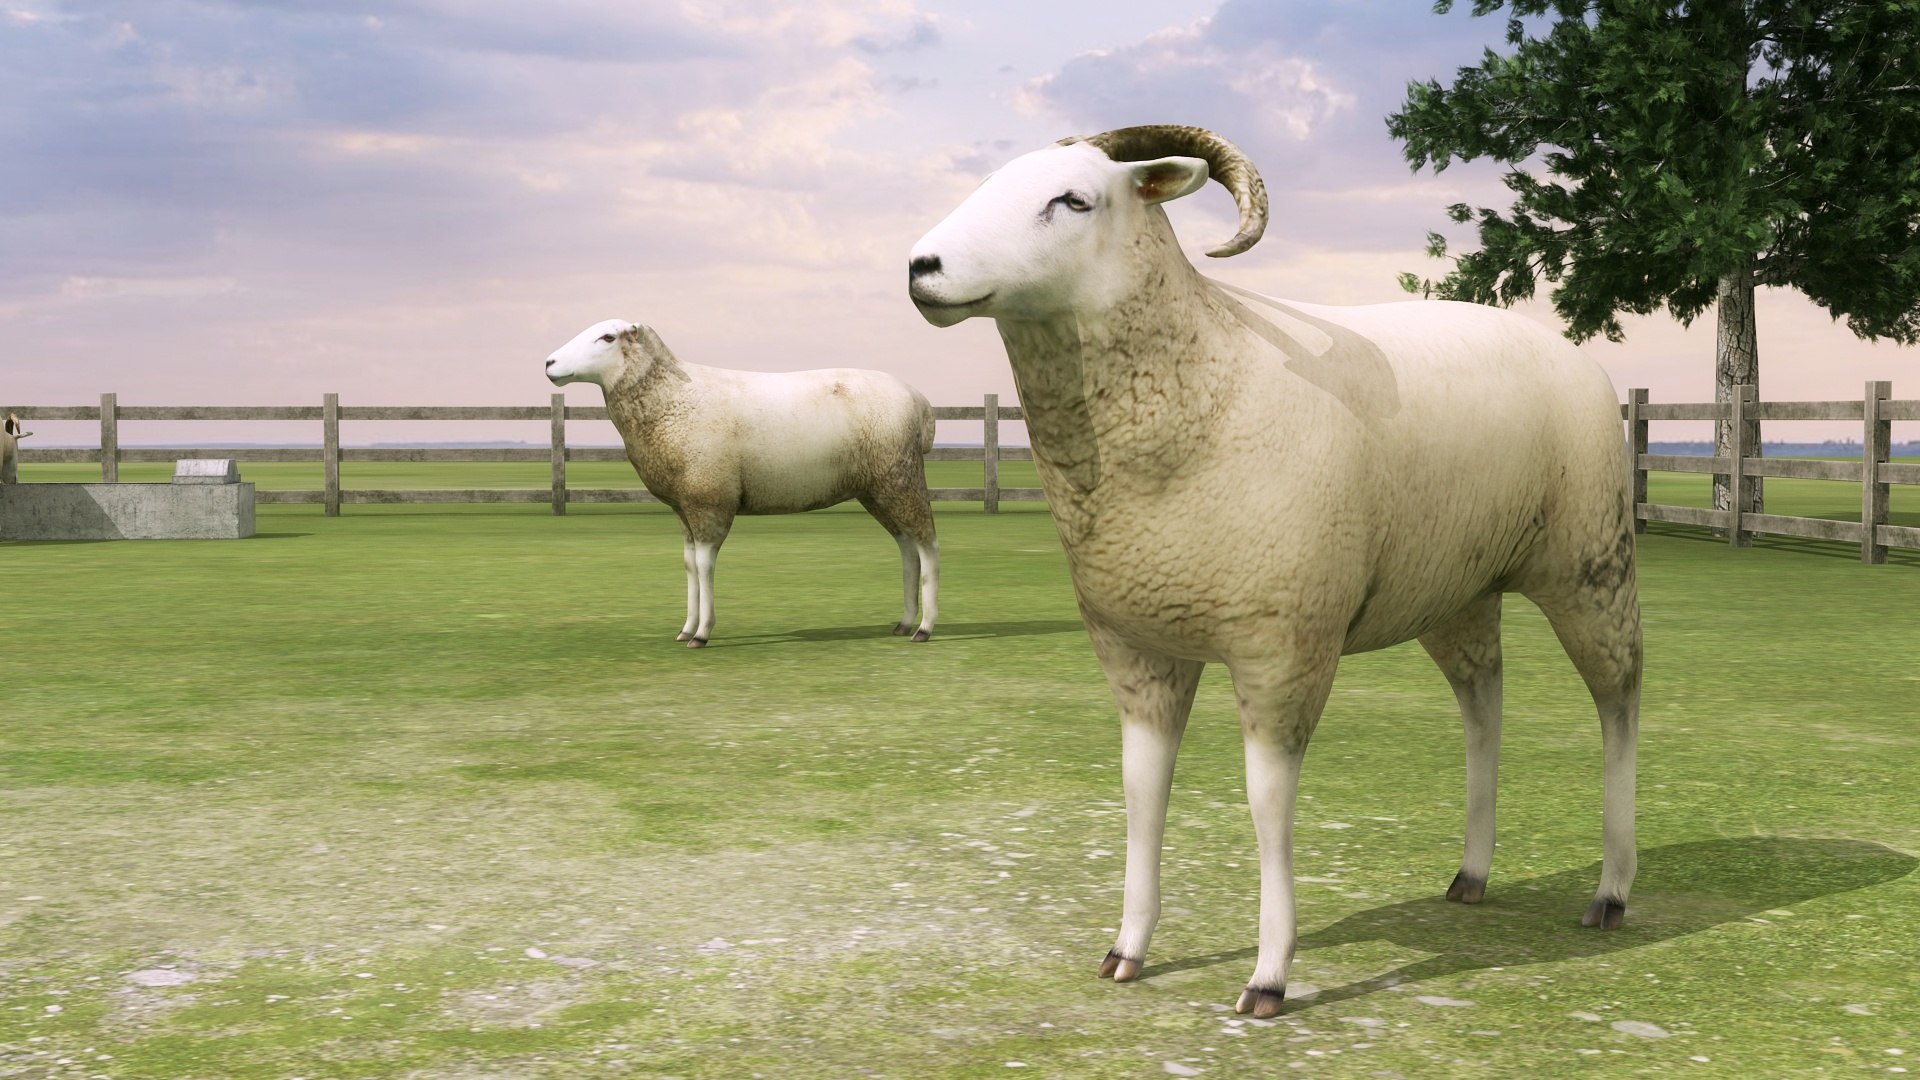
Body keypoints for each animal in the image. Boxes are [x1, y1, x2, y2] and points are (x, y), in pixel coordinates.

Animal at [545, 319, 939, 647]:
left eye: (608, 337)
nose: (549, 363)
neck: (671, 398)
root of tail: (920, 402)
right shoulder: (683, 507)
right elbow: (689, 564)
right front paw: (686, 628)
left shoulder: (709, 498)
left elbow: (704, 565)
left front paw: (702, 633)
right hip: (878, 489)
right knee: (907, 547)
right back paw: (904, 622)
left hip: (901, 477)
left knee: (927, 543)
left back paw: (924, 628)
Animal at [907, 125, 1640, 1019]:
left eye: (1074, 199)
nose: (922, 268)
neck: (1207, 388)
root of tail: (1571, 355)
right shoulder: (1137, 648)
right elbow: (1140, 793)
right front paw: (1127, 949)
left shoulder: (1284, 647)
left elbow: (1267, 804)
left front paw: (1268, 976)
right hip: (1456, 591)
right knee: (1483, 702)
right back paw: (1471, 873)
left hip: (1591, 563)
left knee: (1618, 698)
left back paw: (1611, 891)